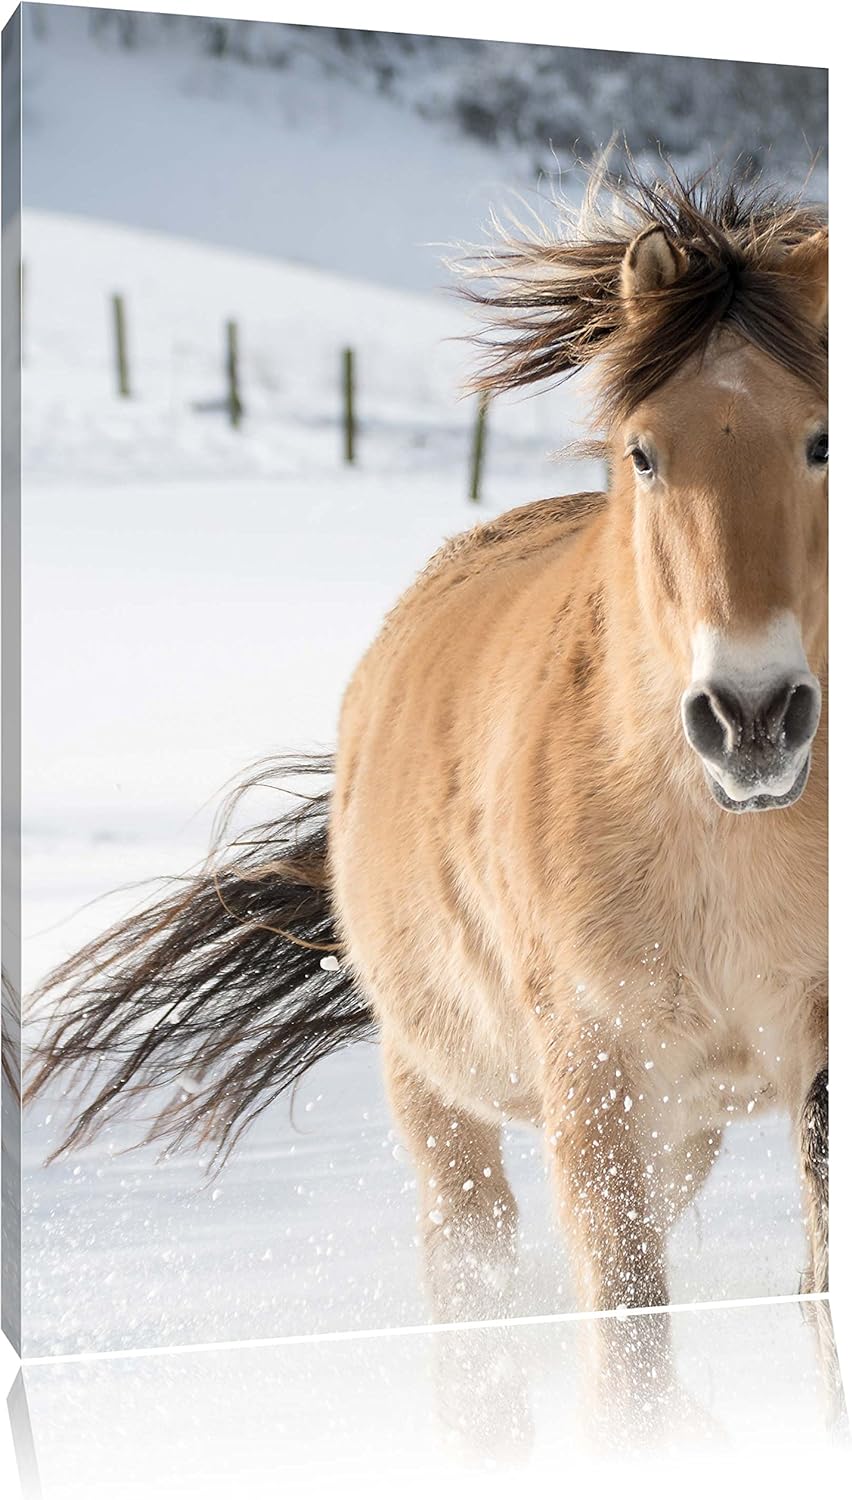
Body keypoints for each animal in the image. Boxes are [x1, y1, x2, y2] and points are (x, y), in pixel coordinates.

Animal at [26, 166, 828, 1390]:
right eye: (644, 452)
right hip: (443, 1093)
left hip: (679, 1123)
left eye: (824, 442)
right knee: (475, 1277)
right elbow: (630, 1347)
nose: (752, 719)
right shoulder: (597, 1075)